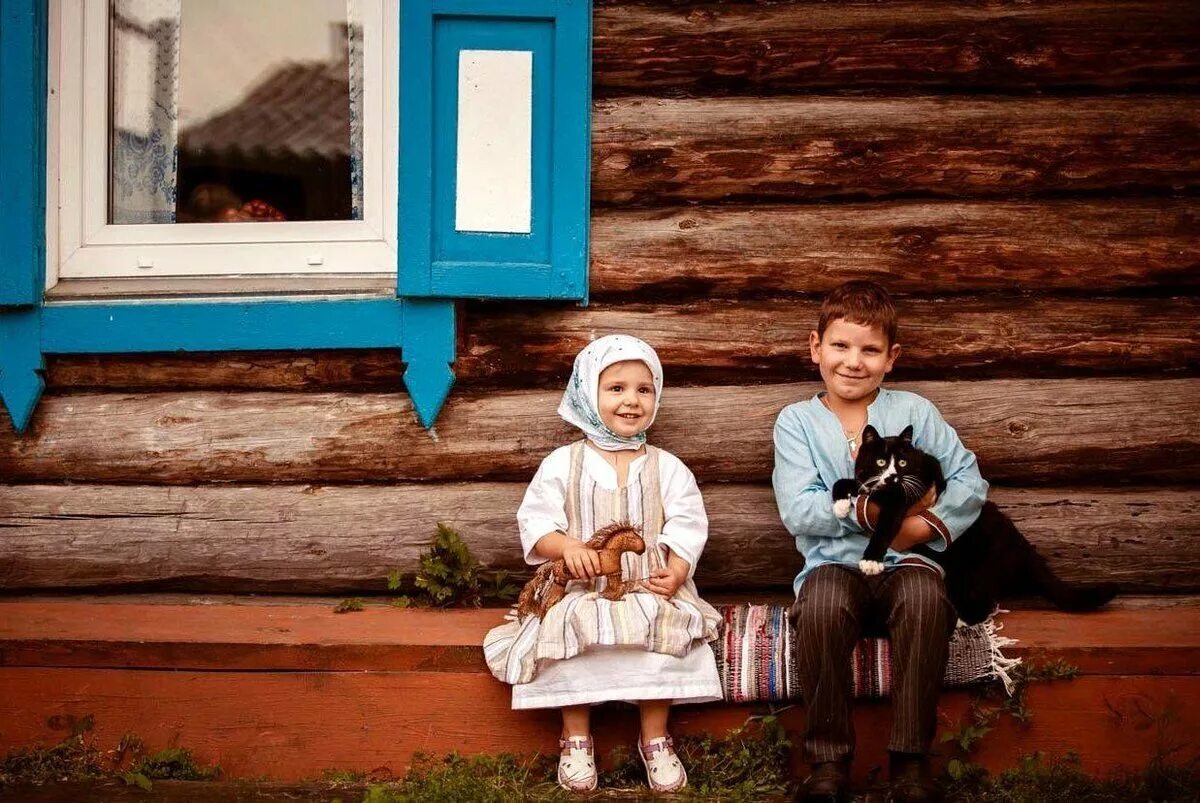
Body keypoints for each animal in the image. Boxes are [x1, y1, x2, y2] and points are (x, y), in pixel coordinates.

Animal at [830, 422, 1118, 624]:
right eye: (880, 461)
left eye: (902, 462)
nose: (891, 477)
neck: (884, 490)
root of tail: (1023, 547)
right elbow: (846, 482)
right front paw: (840, 504)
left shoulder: (908, 493)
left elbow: (885, 525)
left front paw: (870, 562)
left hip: (978, 571)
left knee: (983, 603)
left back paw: (960, 622)